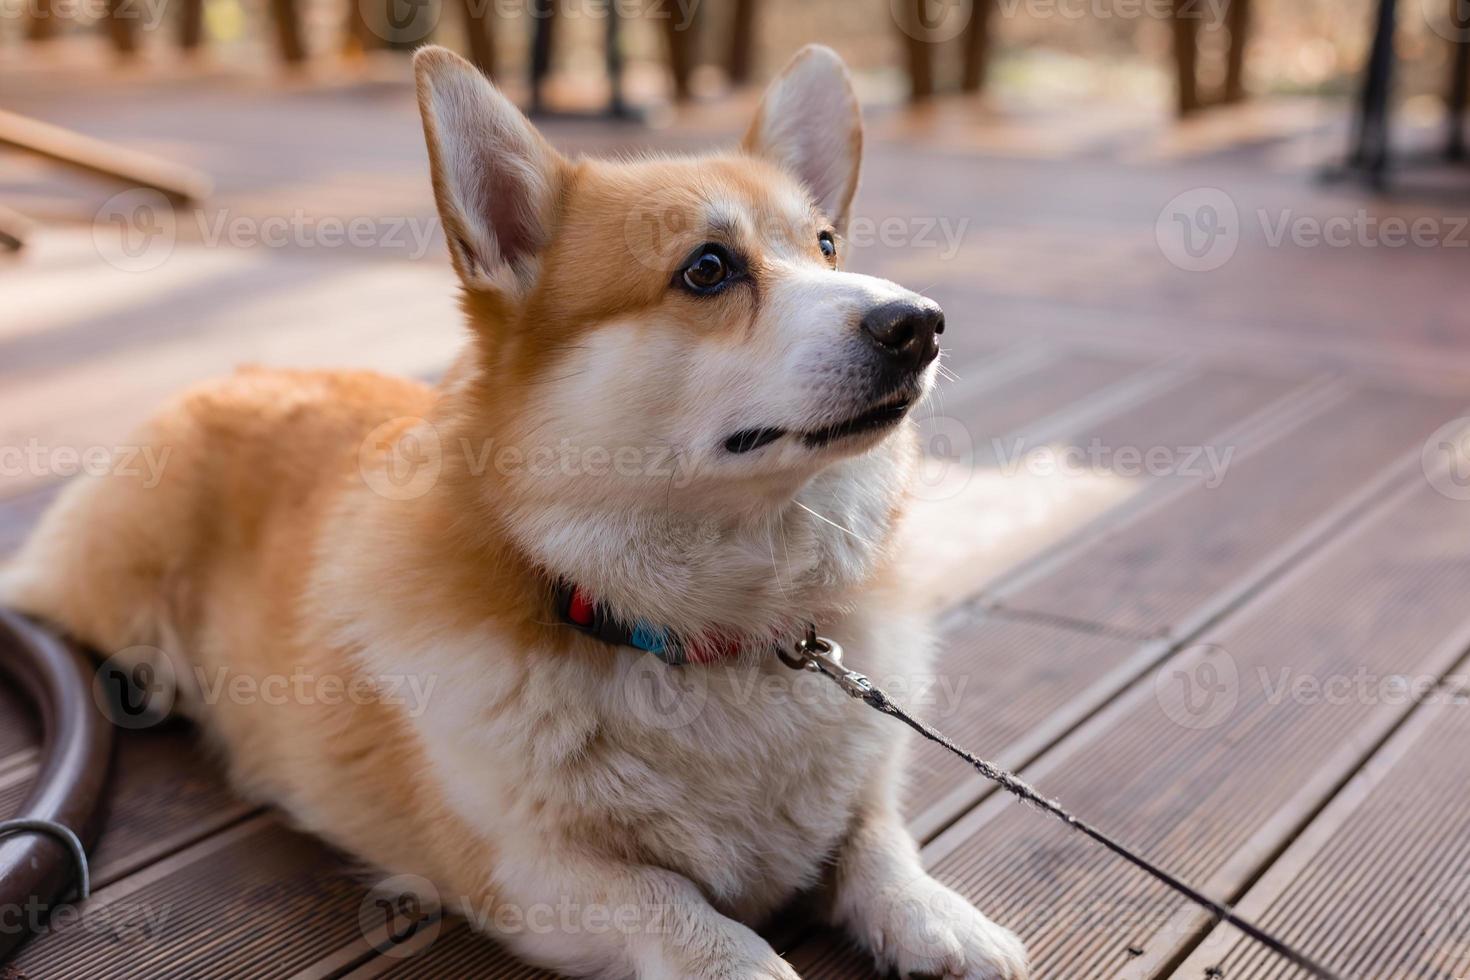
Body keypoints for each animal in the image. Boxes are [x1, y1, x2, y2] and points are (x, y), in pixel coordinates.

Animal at [2, 45, 1023, 980]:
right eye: (707, 269)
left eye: (825, 247)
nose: (920, 324)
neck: (704, 634)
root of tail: (235, 373)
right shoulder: (530, 872)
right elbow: (692, 916)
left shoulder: (856, 796)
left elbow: (878, 841)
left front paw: (943, 921)